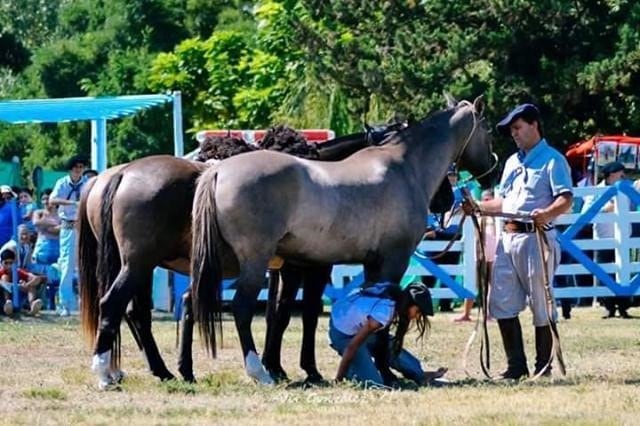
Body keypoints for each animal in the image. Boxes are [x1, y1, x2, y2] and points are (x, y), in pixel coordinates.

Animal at [188, 97, 498, 382]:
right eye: (487, 130)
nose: (492, 174)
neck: (405, 168)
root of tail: (218, 170)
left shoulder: (371, 264)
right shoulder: (393, 261)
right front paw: (385, 373)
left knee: (194, 298)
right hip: (253, 262)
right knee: (241, 307)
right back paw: (259, 372)